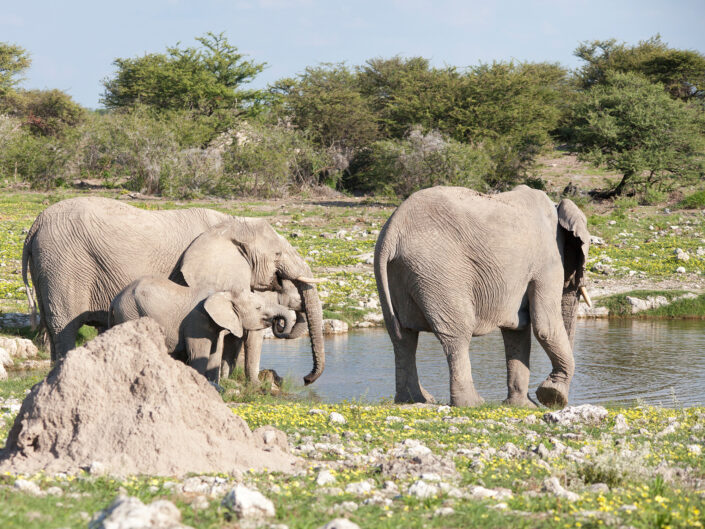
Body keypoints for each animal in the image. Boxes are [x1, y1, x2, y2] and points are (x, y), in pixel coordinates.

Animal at [108, 274, 296, 382]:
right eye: (258, 308)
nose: (278, 323)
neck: (223, 292)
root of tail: (115, 299)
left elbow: (213, 355)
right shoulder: (197, 321)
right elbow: (199, 355)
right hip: (130, 312)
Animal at [374, 186, 588, 408]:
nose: (558, 399)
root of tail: (392, 232)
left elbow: (517, 329)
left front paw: (523, 406)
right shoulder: (547, 260)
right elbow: (544, 326)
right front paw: (551, 395)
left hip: (400, 272)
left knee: (402, 337)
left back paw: (413, 400)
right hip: (438, 270)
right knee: (457, 334)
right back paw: (472, 403)